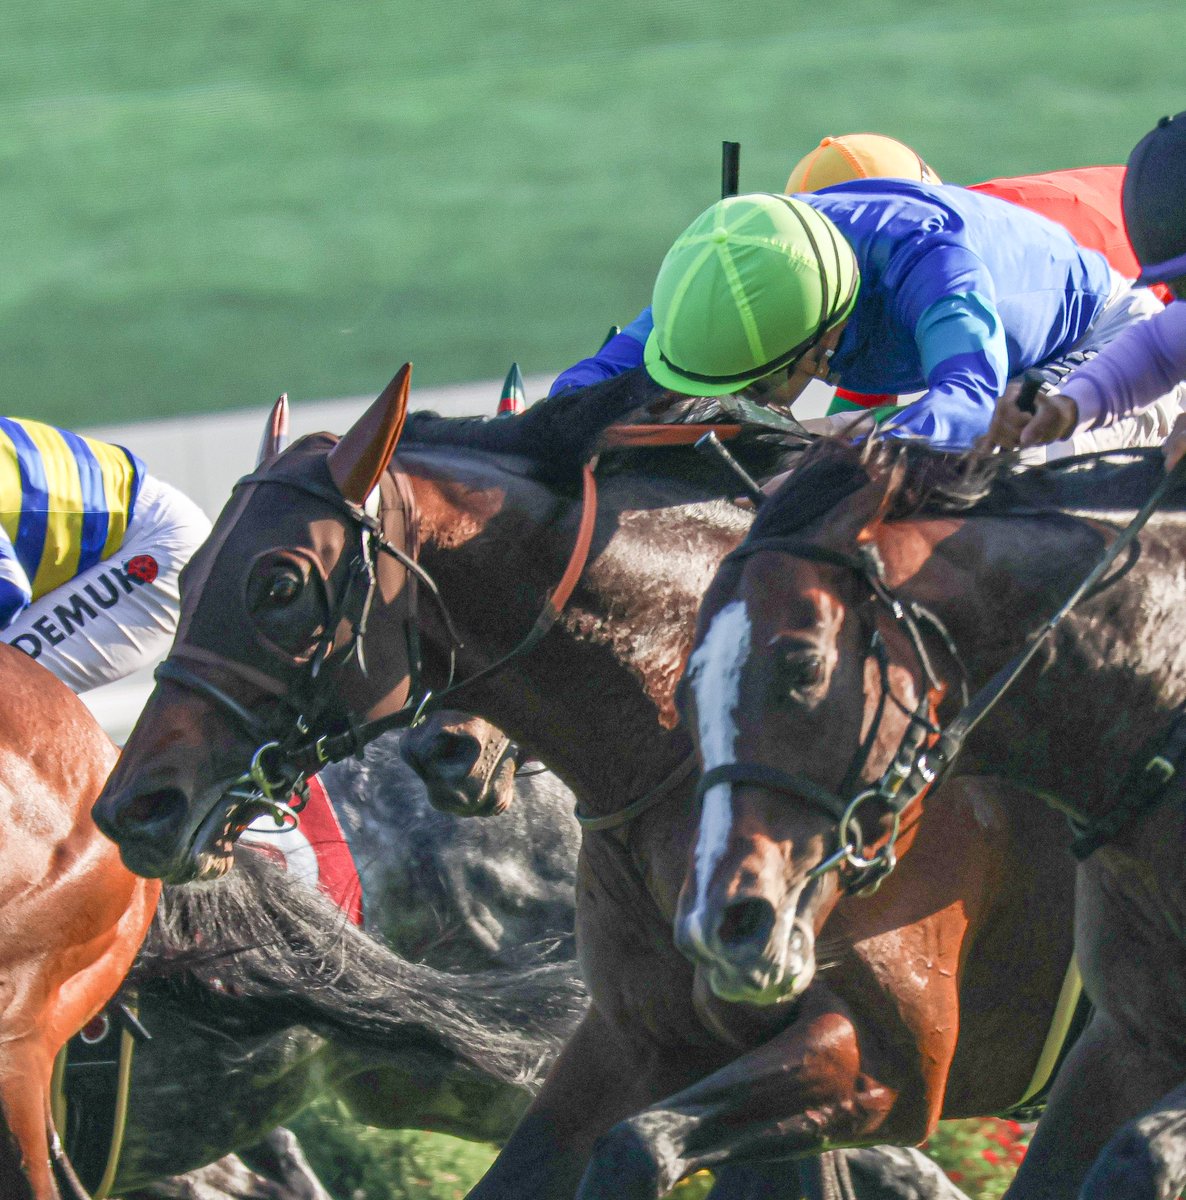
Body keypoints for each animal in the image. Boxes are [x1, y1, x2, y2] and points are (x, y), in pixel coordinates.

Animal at [92, 366, 1079, 1199]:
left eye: (279, 584)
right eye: (186, 573)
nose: (134, 808)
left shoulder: (884, 1057)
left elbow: (640, 1148)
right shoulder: (633, 1042)